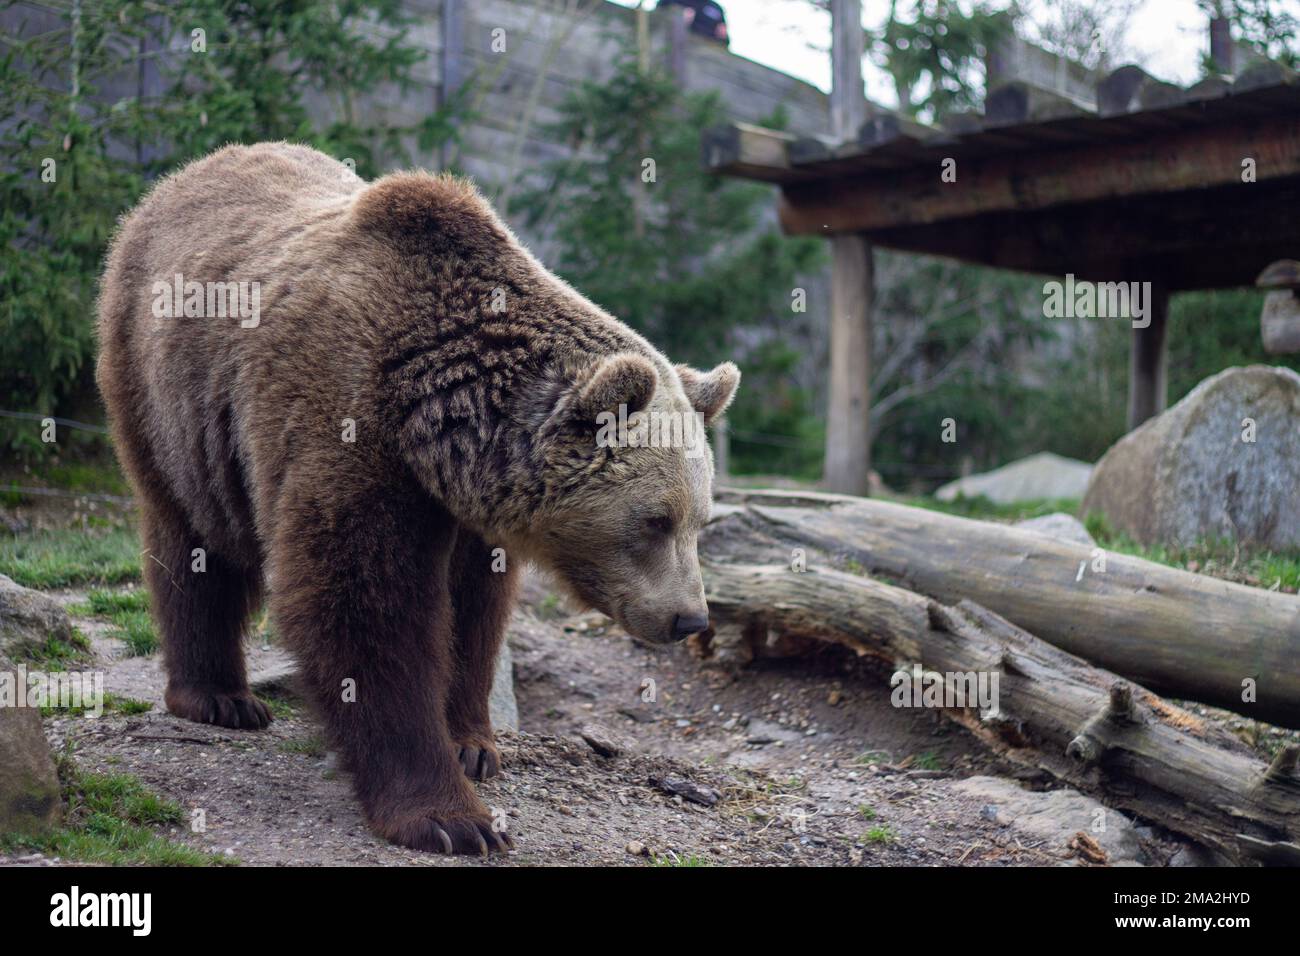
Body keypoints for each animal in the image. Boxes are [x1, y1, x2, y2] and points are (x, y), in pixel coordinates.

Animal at [96, 140, 738, 853]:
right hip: (168, 392)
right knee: (192, 536)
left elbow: (472, 608)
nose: (690, 619)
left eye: (701, 522)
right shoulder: (347, 414)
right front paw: (450, 817)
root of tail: (181, 178)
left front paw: (473, 744)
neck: (435, 415)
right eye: (655, 521)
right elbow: (364, 603)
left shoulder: (475, 504)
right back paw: (218, 697)